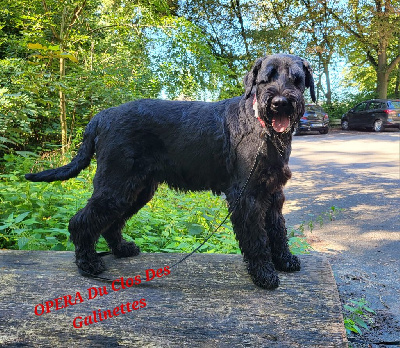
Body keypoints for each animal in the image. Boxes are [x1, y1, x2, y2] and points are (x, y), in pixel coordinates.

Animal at [26, 53, 318, 288]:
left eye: (296, 79)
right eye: (265, 79)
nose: (280, 102)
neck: (262, 128)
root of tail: (100, 117)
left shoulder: (273, 193)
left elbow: (277, 230)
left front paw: (285, 260)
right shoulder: (246, 197)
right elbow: (257, 238)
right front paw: (264, 274)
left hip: (136, 190)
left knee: (111, 223)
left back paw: (122, 249)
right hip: (116, 186)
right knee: (81, 221)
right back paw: (87, 263)